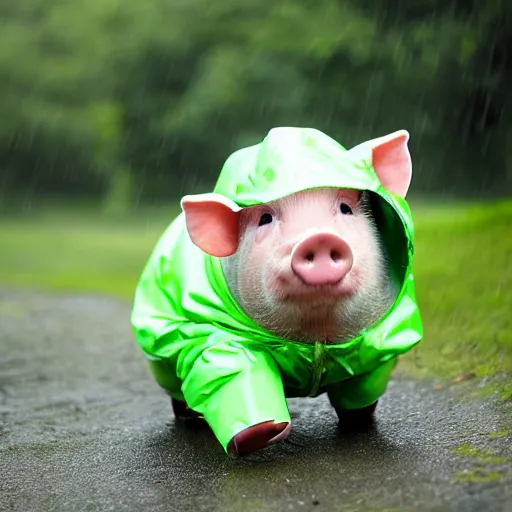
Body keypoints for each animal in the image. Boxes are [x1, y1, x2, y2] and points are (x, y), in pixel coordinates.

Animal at [130, 126, 422, 458]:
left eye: (346, 208)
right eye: (265, 219)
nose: (319, 238)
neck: (315, 341)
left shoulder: (378, 342)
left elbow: (362, 385)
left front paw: (360, 421)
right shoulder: (211, 338)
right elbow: (231, 373)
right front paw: (260, 436)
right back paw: (191, 420)